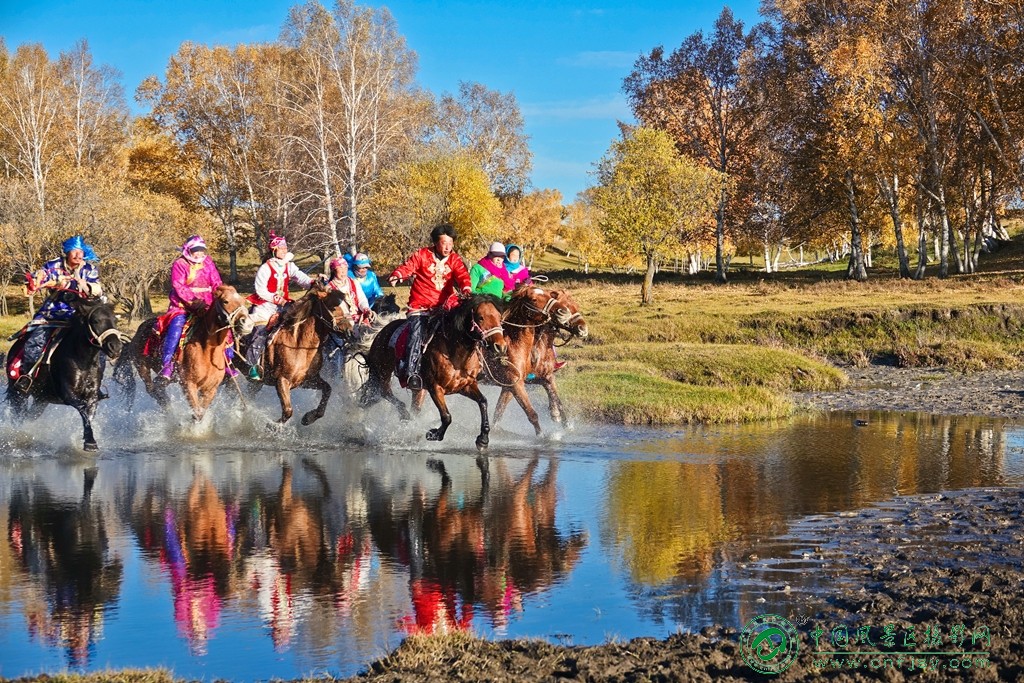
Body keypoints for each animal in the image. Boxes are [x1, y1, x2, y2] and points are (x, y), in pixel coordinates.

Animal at [5, 292, 123, 448]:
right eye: (96, 321)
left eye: (115, 320)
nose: (115, 347)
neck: (83, 360)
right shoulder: (68, 393)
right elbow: (82, 408)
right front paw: (90, 441)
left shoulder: (93, 395)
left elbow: (89, 414)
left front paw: (87, 438)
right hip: (19, 393)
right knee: (18, 415)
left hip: (41, 399)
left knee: (29, 416)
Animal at [113, 284, 252, 421]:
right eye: (225, 301)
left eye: (243, 301)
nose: (247, 324)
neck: (206, 352)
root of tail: (135, 335)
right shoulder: (188, 385)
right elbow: (197, 414)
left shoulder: (210, 389)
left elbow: (201, 412)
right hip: (142, 367)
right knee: (152, 389)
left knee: (159, 387)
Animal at [238, 282, 352, 421]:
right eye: (334, 307)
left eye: (348, 306)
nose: (350, 332)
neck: (298, 345)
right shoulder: (281, 381)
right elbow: (288, 411)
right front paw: (272, 425)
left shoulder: (308, 380)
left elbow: (327, 389)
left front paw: (309, 417)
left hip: (256, 383)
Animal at [360, 294, 507, 450]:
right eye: (480, 317)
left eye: (499, 317)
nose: (500, 346)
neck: (455, 352)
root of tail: (381, 331)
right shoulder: (435, 388)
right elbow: (447, 416)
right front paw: (434, 434)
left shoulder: (465, 386)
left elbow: (483, 402)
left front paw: (483, 439)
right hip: (381, 373)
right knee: (384, 392)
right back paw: (403, 416)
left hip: (417, 389)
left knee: (408, 406)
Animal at [483, 288, 589, 432]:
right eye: (566, 306)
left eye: (576, 306)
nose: (583, 329)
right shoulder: (513, 383)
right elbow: (501, 411)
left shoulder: (545, 376)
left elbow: (557, 400)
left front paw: (562, 421)